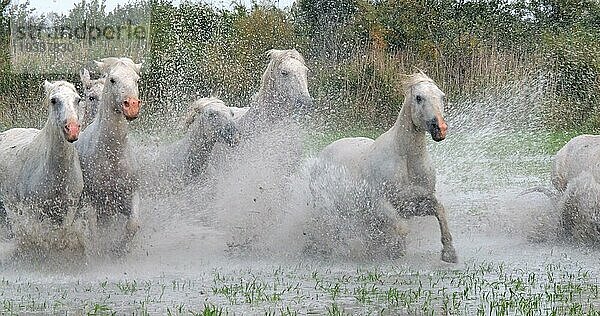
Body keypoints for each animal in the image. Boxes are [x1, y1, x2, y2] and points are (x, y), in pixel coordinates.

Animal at [0, 80, 83, 226]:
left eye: (77, 100)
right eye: (53, 100)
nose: (72, 130)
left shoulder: (68, 211)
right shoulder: (33, 212)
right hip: (11, 207)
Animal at [77, 57, 142, 254]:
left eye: (137, 80)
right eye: (112, 80)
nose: (132, 106)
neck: (112, 154)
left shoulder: (130, 194)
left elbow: (133, 224)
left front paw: (118, 250)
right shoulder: (90, 200)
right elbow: (93, 230)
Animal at [316, 73, 458, 262]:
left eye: (442, 96)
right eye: (419, 97)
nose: (440, 129)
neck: (406, 160)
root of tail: (323, 153)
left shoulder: (416, 202)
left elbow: (440, 211)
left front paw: (449, 253)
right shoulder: (380, 204)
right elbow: (401, 227)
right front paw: (395, 249)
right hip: (330, 210)